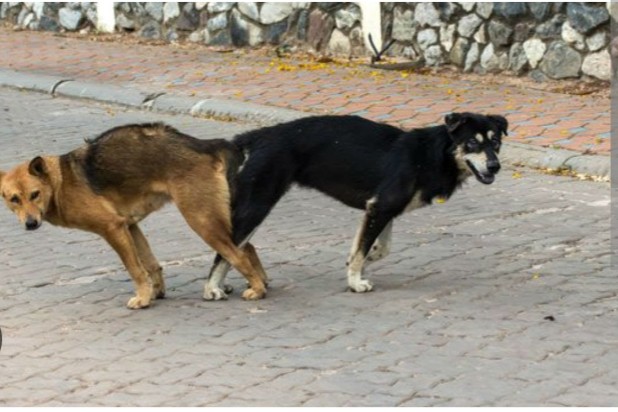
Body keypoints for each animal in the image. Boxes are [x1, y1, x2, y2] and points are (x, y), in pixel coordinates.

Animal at [2, 122, 268, 308]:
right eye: (14, 199)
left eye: (35, 194)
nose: (30, 224)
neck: (60, 183)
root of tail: (207, 144)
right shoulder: (129, 226)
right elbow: (150, 264)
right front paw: (155, 292)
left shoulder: (113, 228)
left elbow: (135, 269)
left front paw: (142, 298)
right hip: (214, 218)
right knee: (248, 247)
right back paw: (261, 281)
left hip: (201, 221)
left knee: (238, 254)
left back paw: (257, 289)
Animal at [202, 112, 506, 300]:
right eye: (472, 142)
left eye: (496, 142)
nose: (495, 166)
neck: (433, 154)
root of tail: (256, 136)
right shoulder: (381, 207)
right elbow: (363, 249)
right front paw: (355, 281)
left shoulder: (383, 209)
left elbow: (378, 248)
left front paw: (358, 264)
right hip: (258, 203)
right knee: (227, 247)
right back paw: (212, 288)